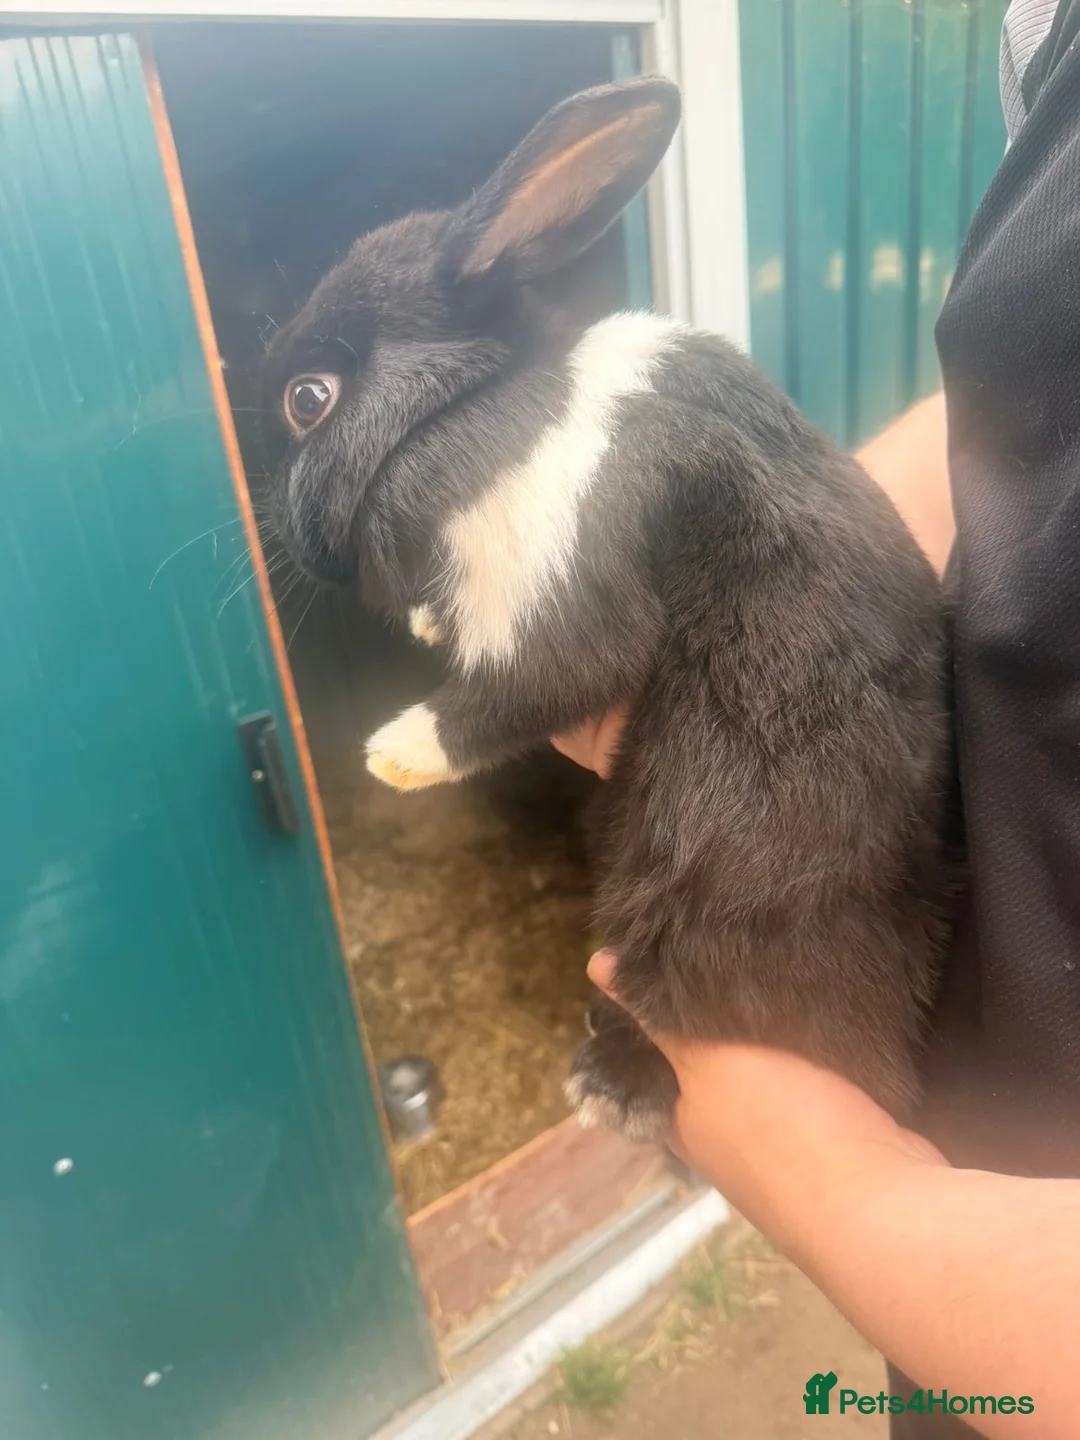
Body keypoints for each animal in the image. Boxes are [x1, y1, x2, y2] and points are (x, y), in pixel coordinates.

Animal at [260, 76, 950, 1143]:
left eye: (308, 399)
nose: (292, 544)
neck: (478, 402)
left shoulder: (563, 555)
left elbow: (544, 677)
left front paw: (394, 757)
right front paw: (428, 627)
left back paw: (609, 1083)